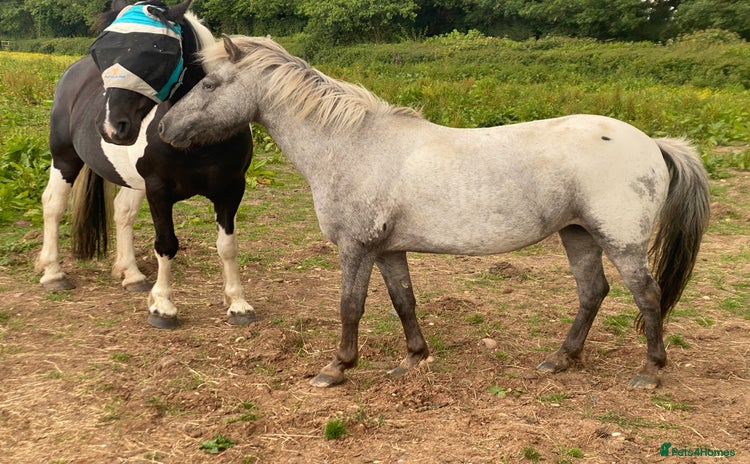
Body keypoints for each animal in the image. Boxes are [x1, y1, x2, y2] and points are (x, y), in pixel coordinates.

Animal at [35, 2, 256, 329]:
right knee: (53, 204)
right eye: (99, 49)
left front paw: (238, 305)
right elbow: (166, 244)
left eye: (159, 50)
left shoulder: (231, 189)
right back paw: (53, 273)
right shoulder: (158, 189)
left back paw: (132, 275)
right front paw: (163, 307)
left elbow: (227, 246)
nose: (112, 127)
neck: (197, 140)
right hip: (64, 159)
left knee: (122, 212)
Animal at [158, 35, 711, 388]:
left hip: (621, 241)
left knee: (647, 297)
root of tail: (652, 143)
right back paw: (560, 360)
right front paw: (413, 360)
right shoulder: (387, 251)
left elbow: (350, 307)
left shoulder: (356, 248)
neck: (351, 145)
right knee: (593, 292)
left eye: (209, 85)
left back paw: (649, 372)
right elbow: (404, 302)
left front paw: (336, 369)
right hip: (577, 234)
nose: (164, 128)